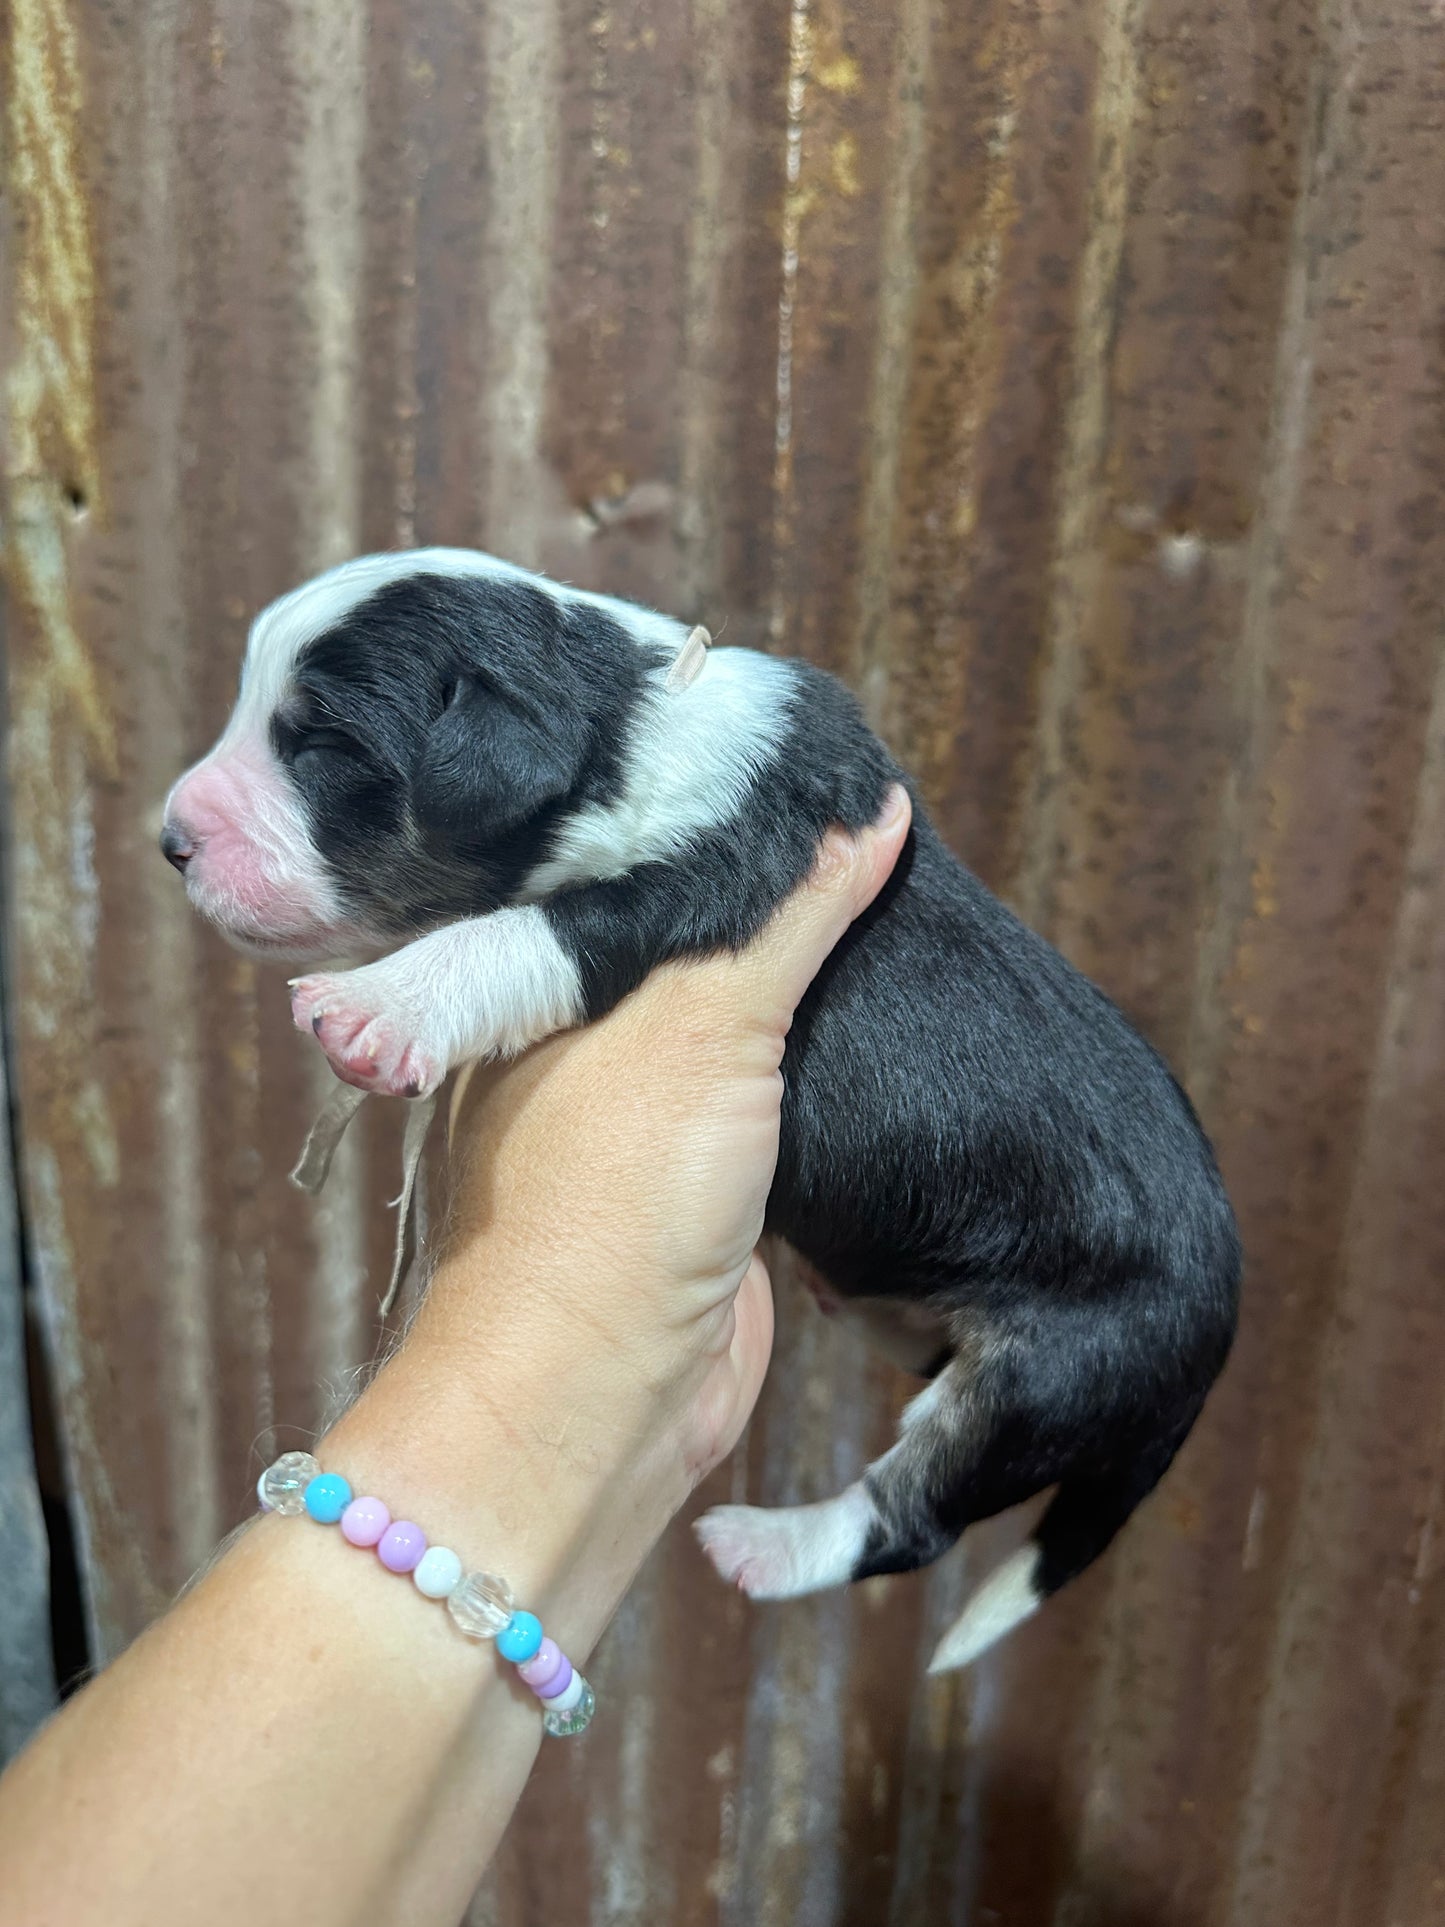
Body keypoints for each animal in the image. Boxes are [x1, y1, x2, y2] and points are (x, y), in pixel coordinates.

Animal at [163, 547, 1240, 1672]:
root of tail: (1216, 1334)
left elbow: (515, 935)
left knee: (914, 1515)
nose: (169, 840)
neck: (625, 727)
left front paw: (374, 1004)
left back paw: (765, 1544)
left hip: (1045, 1376)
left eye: (321, 742)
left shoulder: (693, 883)